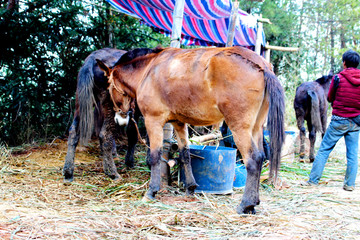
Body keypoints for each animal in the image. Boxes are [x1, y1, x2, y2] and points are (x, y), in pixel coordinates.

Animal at [97, 46, 286, 214]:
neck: (149, 70)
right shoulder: (179, 123)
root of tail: (262, 64)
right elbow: (185, 154)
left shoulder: (153, 120)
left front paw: (151, 191)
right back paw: (253, 203)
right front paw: (190, 187)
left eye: (109, 87)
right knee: (261, 156)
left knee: (253, 160)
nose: (119, 119)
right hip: (256, 128)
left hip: (240, 128)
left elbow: (155, 156)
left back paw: (245, 204)